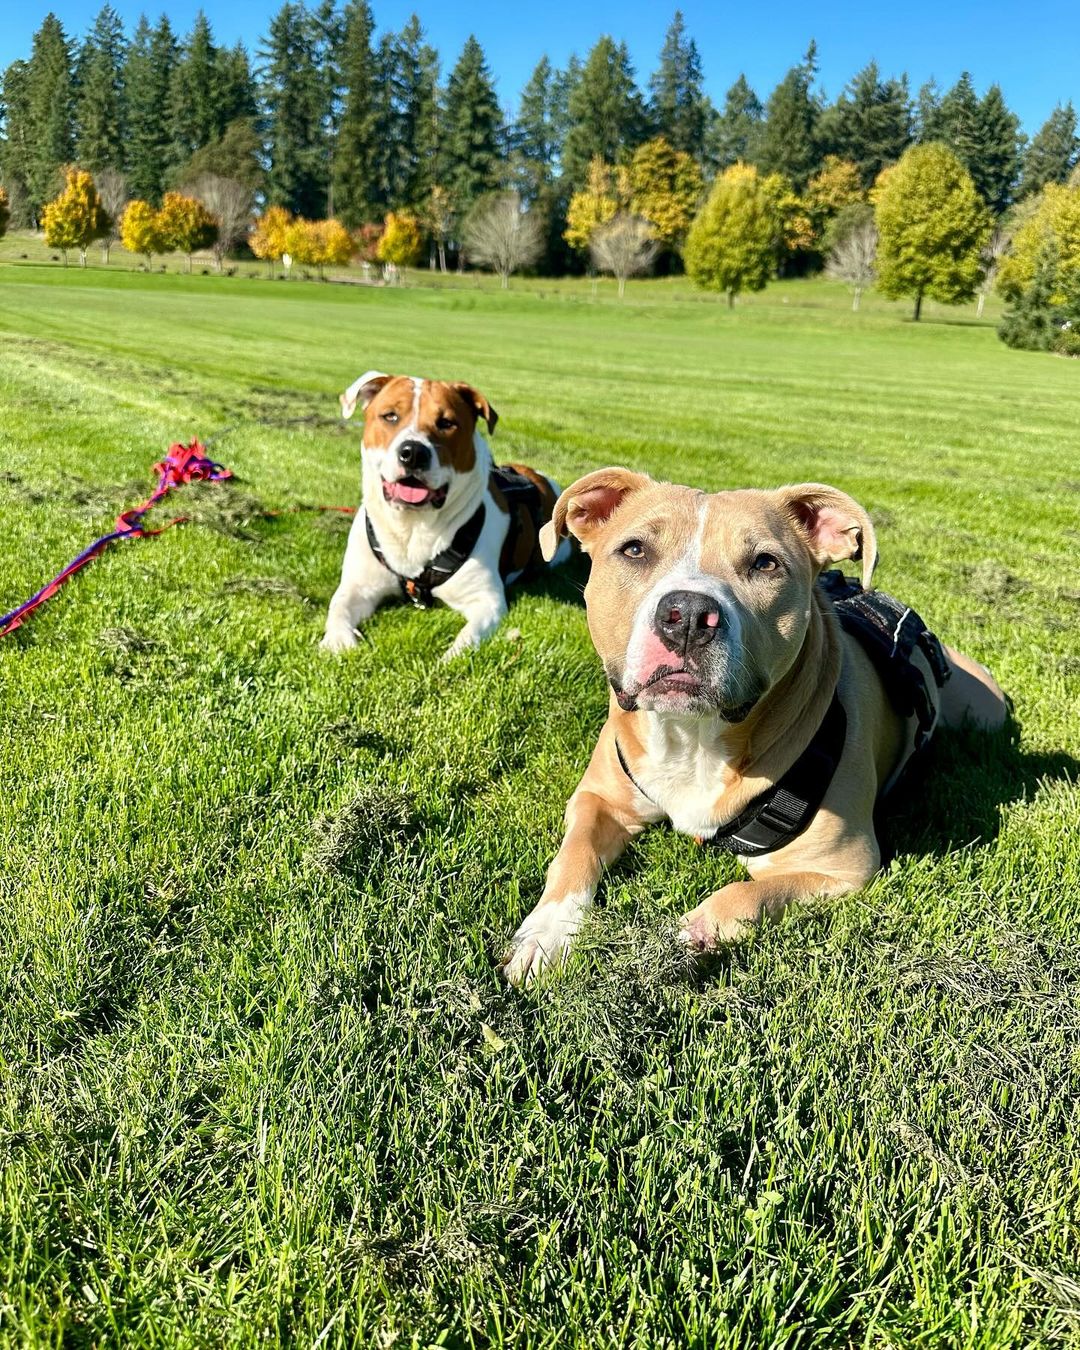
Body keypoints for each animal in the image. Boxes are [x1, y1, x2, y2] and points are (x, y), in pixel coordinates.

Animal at [502, 469, 1009, 988]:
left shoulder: (844, 869)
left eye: (765, 563)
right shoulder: (598, 799)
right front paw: (545, 934)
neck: (692, 738)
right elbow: (574, 855)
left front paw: (684, 938)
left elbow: (743, 895)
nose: (688, 616)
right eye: (635, 550)